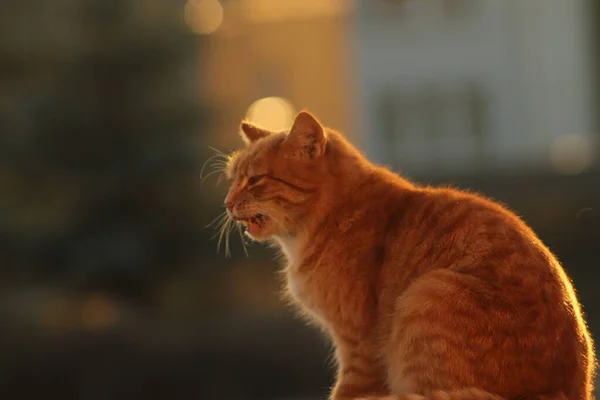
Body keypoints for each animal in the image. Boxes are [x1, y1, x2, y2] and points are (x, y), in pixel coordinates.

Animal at [221, 110, 596, 400]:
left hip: (429, 290)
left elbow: (346, 392)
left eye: (255, 180)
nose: (226, 203)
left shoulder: (358, 345)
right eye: (232, 179)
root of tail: (560, 391)